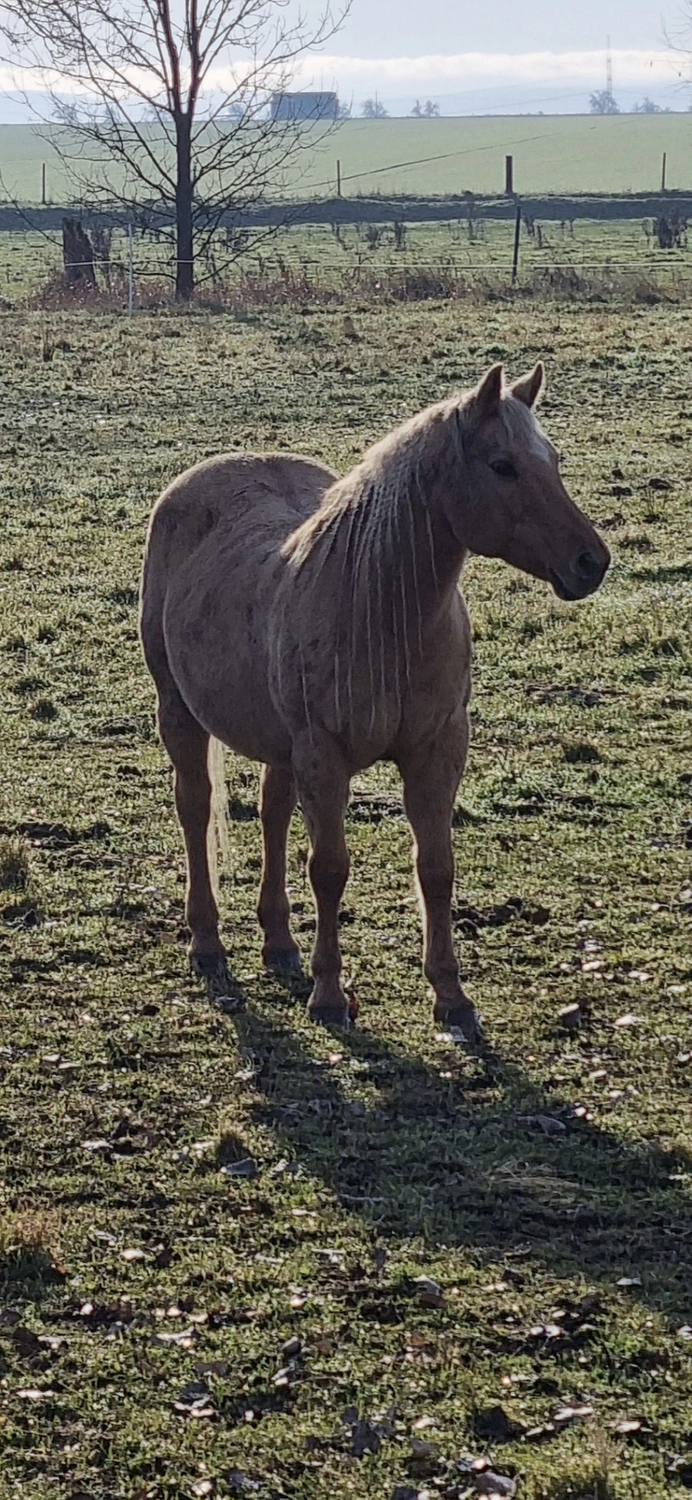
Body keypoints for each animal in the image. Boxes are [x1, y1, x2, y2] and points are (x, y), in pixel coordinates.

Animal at [140, 362, 610, 1043]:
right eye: (502, 465)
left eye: (553, 460)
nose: (591, 562)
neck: (378, 607)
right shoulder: (324, 756)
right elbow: (330, 869)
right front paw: (330, 995)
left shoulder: (436, 750)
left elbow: (436, 867)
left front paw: (452, 997)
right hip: (179, 711)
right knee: (196, 809)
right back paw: (207, 941)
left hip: (279, 744)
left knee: (273, 813)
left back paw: (278, 941)